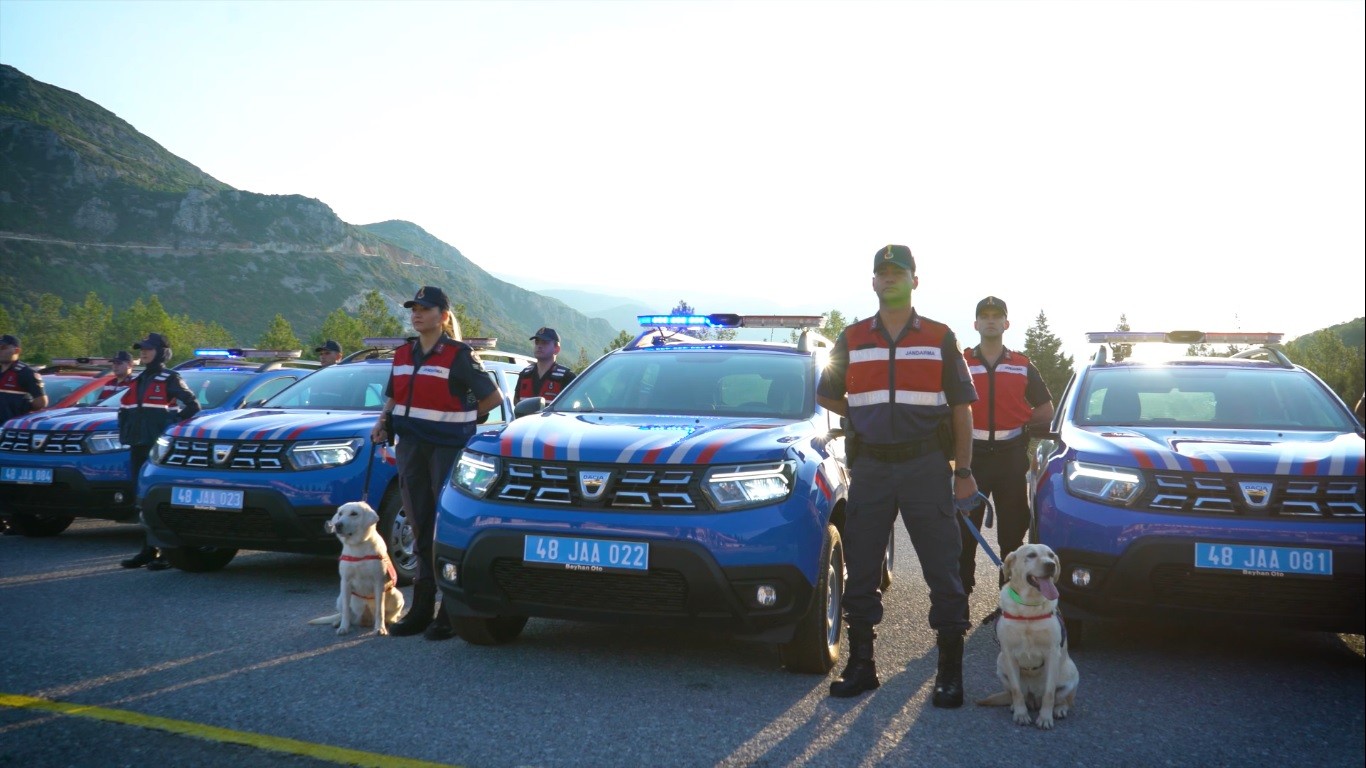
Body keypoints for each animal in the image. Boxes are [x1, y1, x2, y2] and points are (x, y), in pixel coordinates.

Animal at [304, 500, 398, 631]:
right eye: (340, 513)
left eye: (354, 514)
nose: (337, 525)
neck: (358, 546)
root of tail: (365, 620)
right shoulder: (345, 582)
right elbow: (346, 611)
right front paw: (343, 627)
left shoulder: (378, 582)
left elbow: (380, 610)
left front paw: (380, 628)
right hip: (340, 598)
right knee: (344, 614)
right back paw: (337, 622)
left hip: (397, 596)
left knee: (391, 615)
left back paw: (391, 622)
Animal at [978, 541, 1081, 727]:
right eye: (1031, 555)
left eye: (1051, 555)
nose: (1051, 565)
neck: (1029, 608)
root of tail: (1035, 699)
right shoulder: (1008, 654)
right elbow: (1016, 691)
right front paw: (1021, 714)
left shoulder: (1052, 653)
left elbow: (1050, 693)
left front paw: (1045, 718)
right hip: (1000, 664)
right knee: (1018, 694)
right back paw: (1016, 705)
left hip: (1071, 673)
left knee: (1064, 700)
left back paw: (1059, 709)